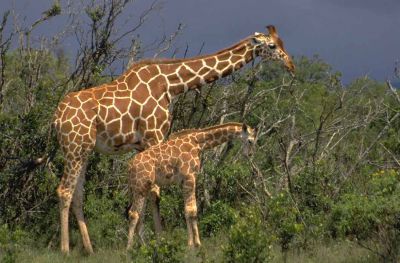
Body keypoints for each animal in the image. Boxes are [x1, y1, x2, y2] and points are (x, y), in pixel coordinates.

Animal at [125, 121, 256, 250]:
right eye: (250, 141)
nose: (249, 154)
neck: (198, 142)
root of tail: (130, 166)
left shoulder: (184, 180)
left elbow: (189, 210)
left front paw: (195, 243)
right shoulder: (189, 177)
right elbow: (191, 210)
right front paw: (193, 245)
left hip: (142, 187)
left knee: (140, 217)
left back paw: (145, 247)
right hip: (140, 186)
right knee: (133, 214)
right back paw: (129, 250)